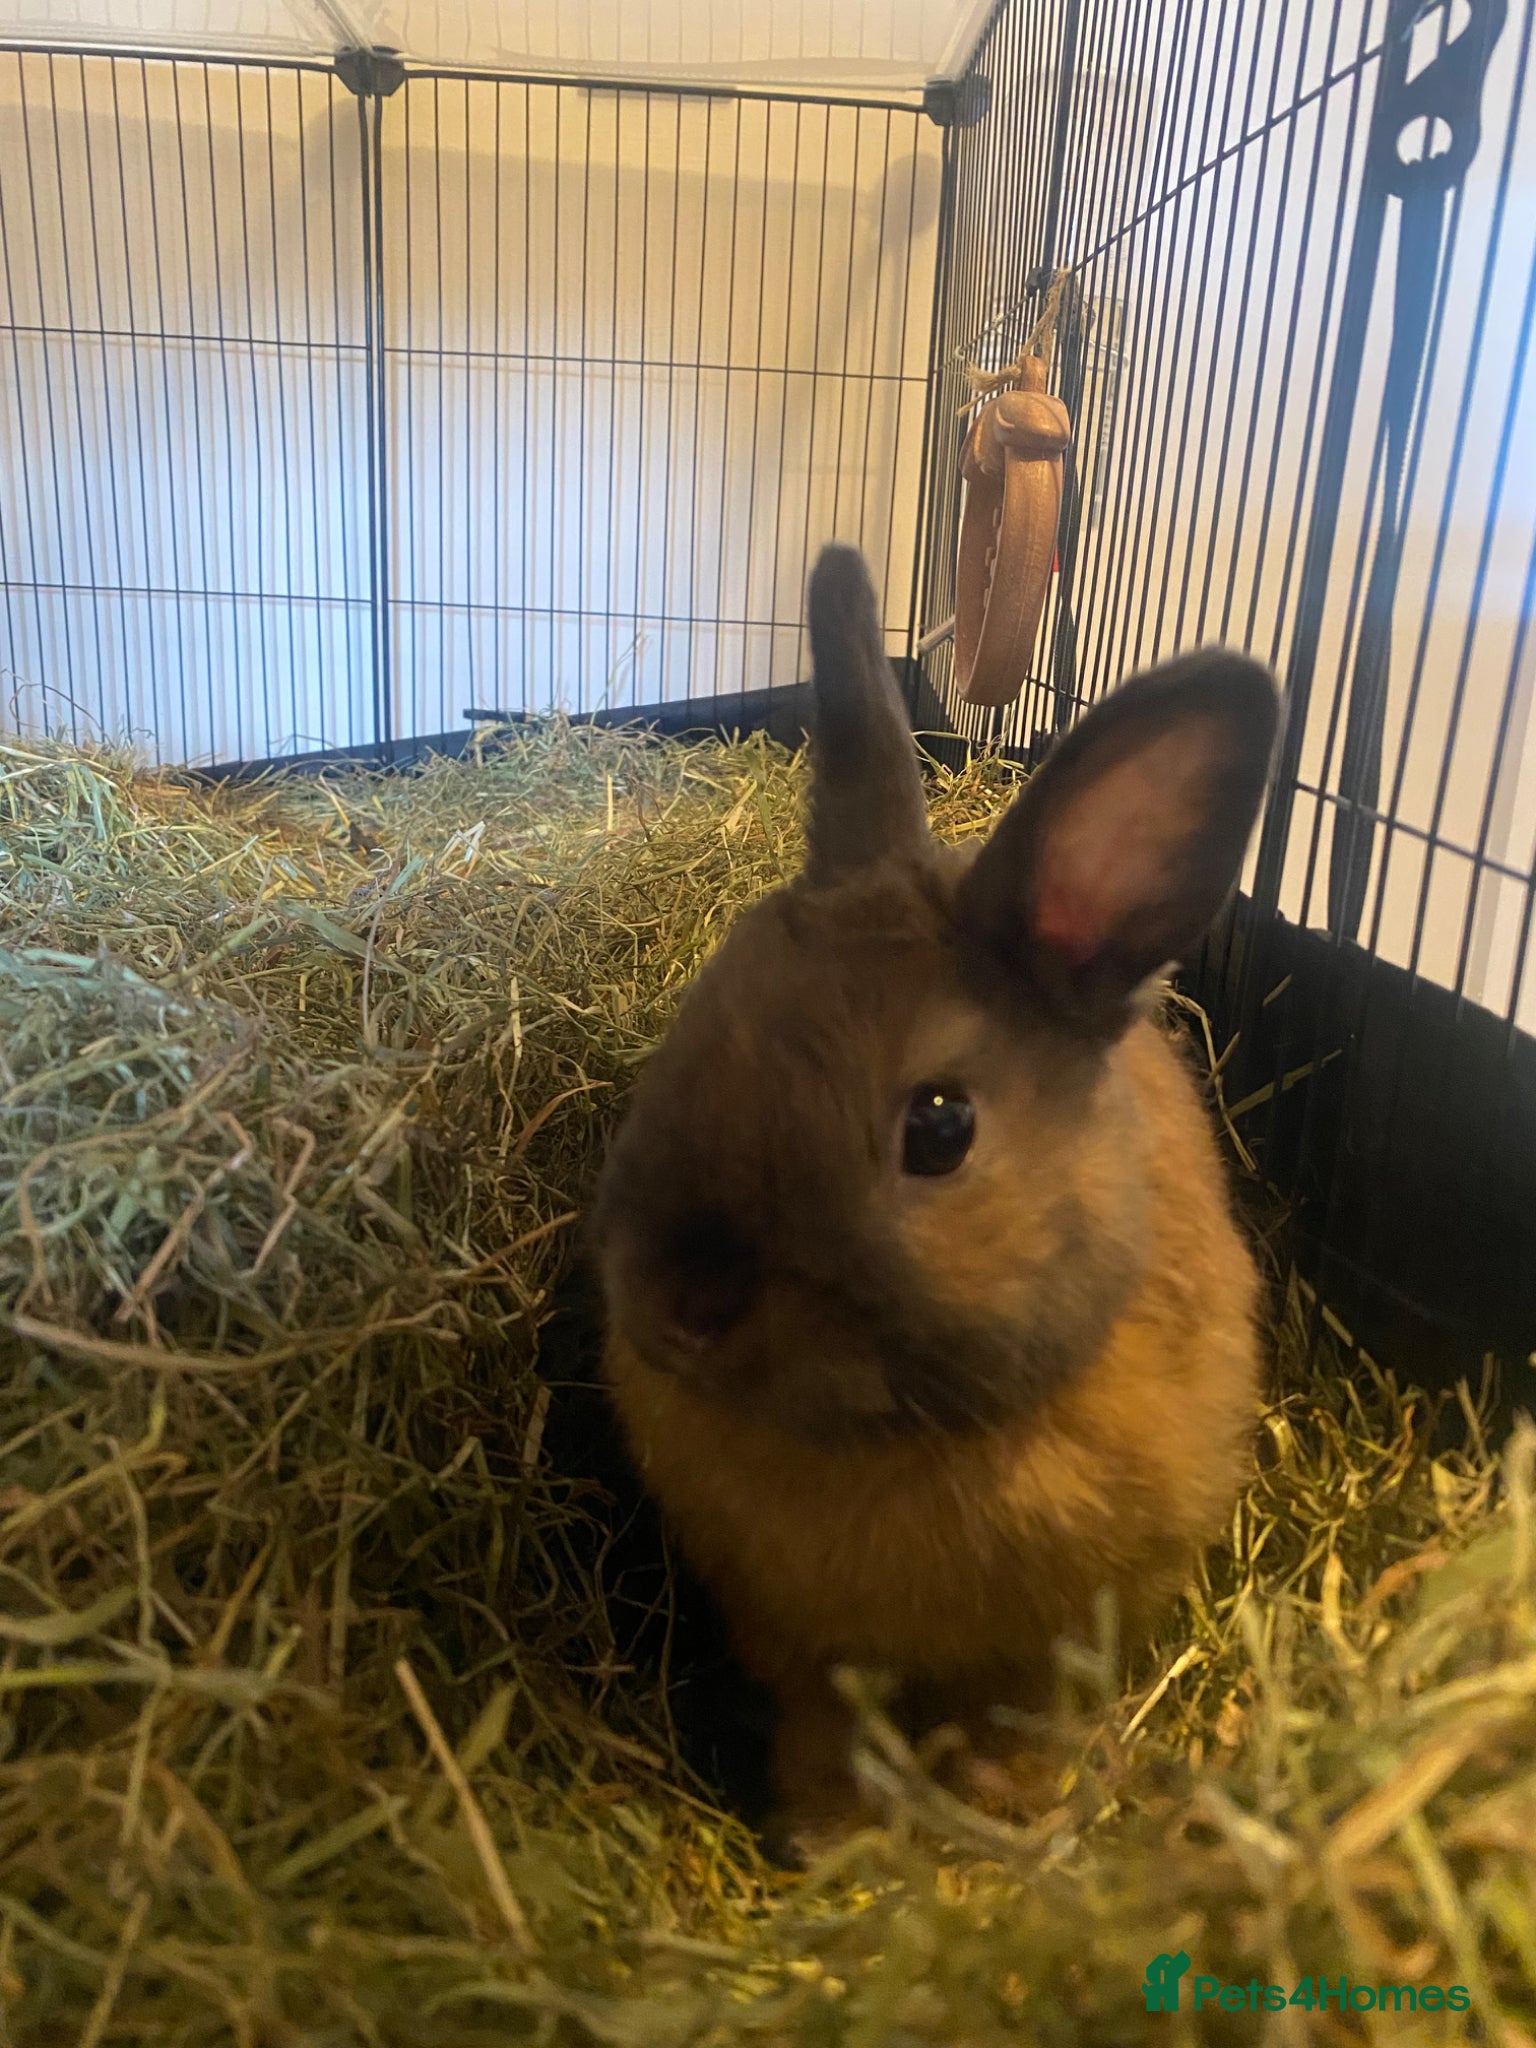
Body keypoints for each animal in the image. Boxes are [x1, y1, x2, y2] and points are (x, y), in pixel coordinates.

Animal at [591, 541, 1280, 1847]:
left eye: (942, 1127)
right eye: (701, 1014)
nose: (676, 1312)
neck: (905, 1434)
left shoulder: (1067, 1629)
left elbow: (1021, 1713)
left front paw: (1011, 1808)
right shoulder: (798, 1640)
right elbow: (827, 1722)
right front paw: (826, 1830)